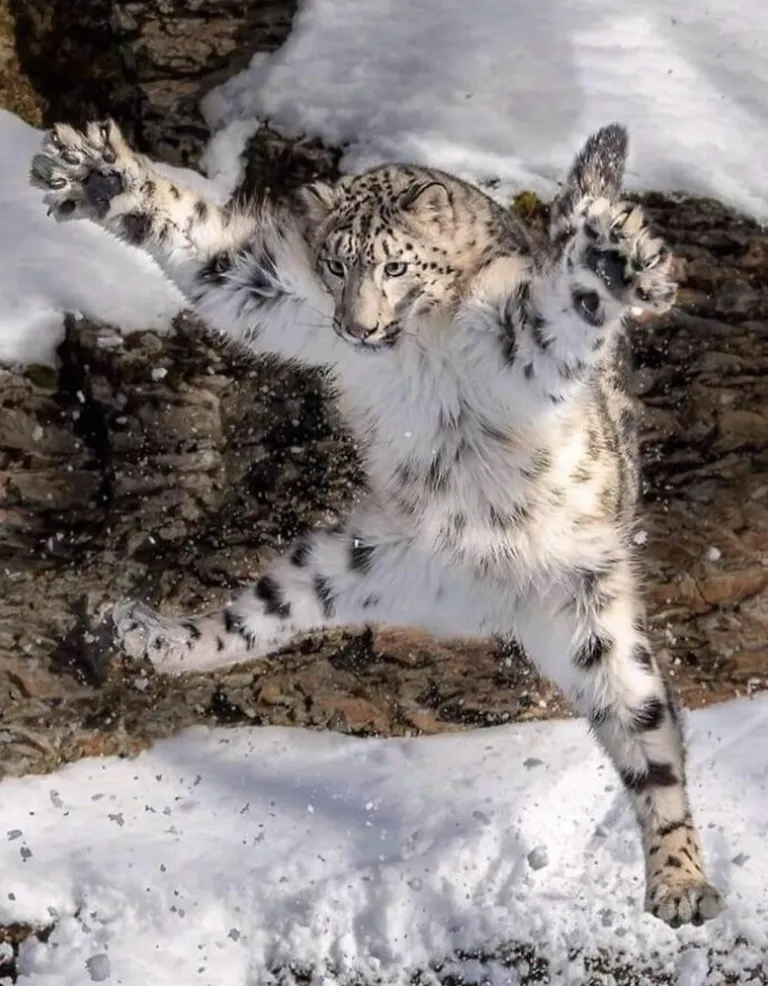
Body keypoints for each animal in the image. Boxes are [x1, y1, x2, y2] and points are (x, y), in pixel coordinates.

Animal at [30, 117, 724, 927]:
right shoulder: (276, 290)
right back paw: (145, 635)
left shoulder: (520, 338)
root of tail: (487, 602)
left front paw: (613, 260)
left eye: (395, 264)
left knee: (651, 746)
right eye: (337, 264)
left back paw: (681, 883)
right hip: (349, 561)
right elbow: (210, 250)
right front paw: (100, 176)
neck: (415, 346)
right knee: (246, 623)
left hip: (597, 617)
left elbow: (564, 308)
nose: (356, 328)